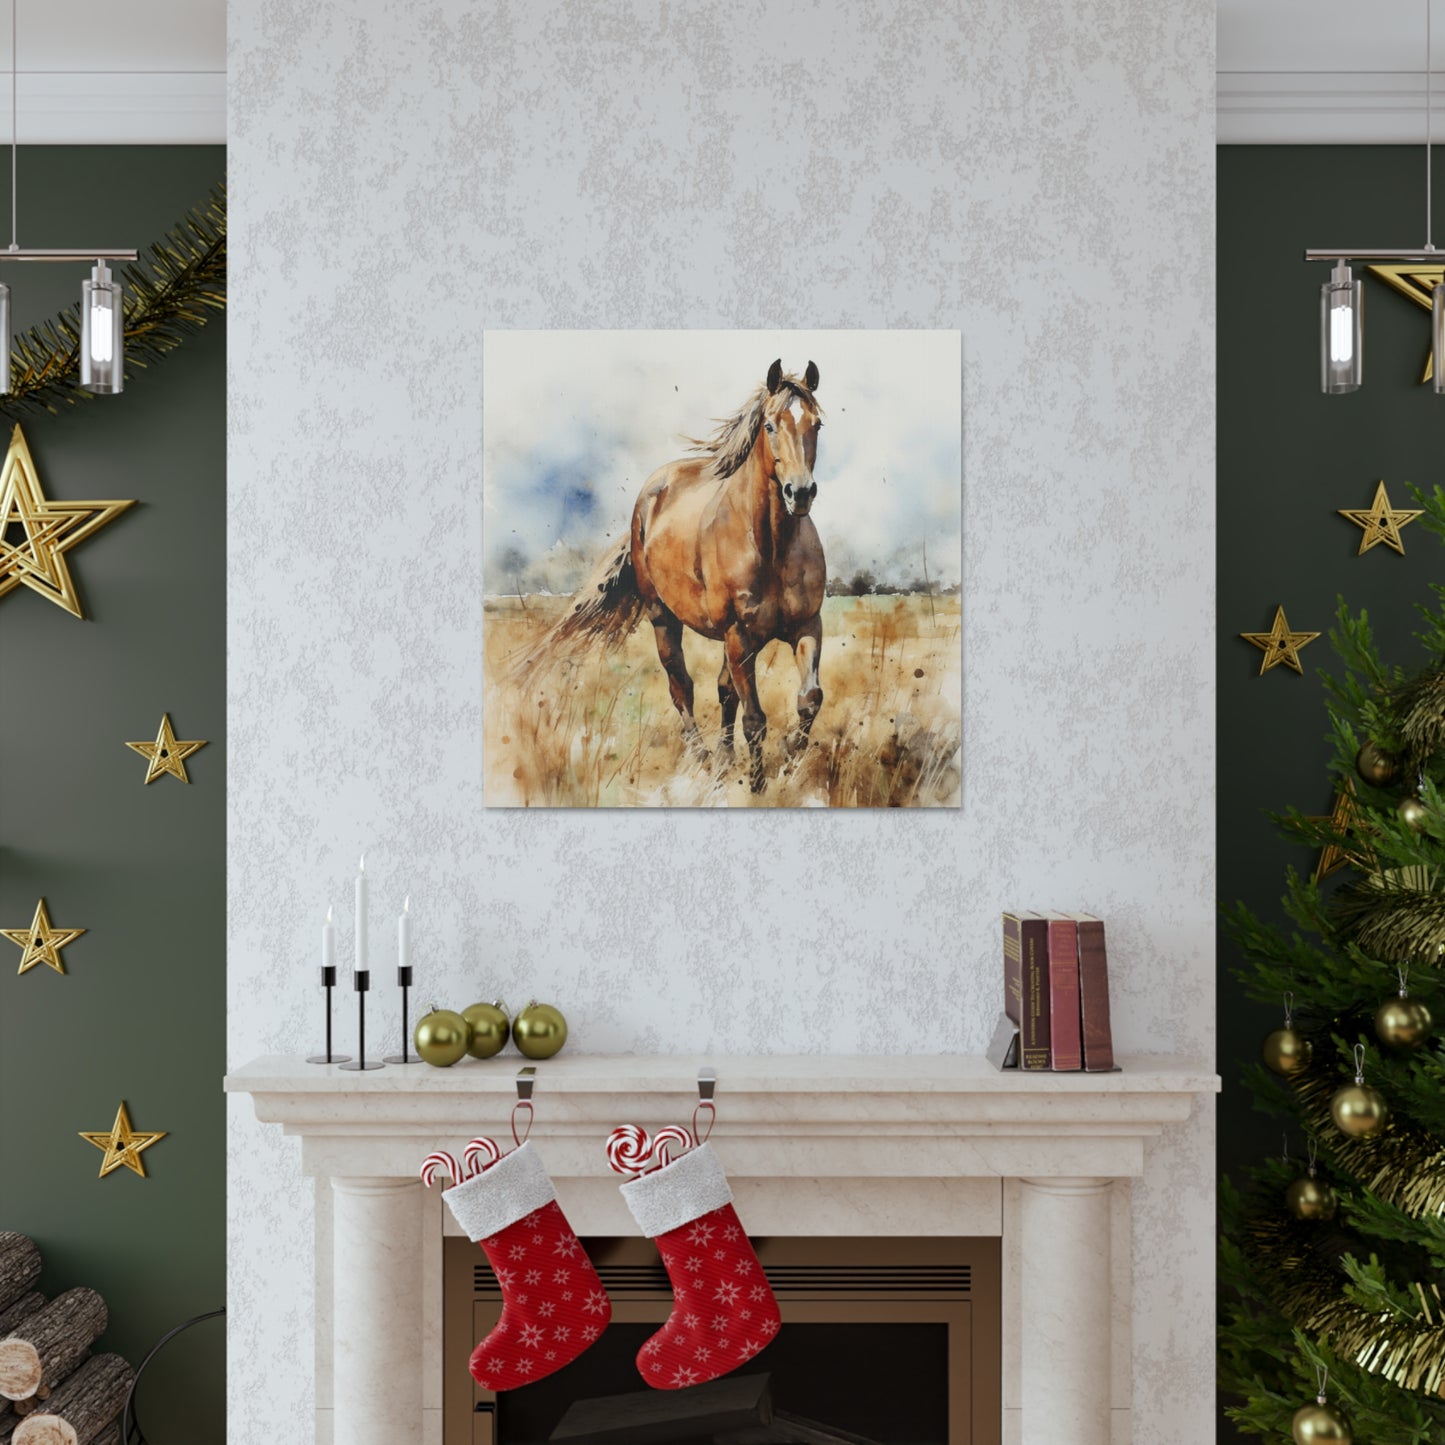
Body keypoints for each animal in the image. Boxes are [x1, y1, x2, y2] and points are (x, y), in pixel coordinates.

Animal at [531, 359, 827, 794]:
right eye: (771, 425)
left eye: (817, 424)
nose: (800, 493)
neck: (771, 544)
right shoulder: (740, 635)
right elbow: (754, 719)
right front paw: (757, 786)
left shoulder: (806, 626)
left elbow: (809, 699)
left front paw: (790, 757)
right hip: (664, 618)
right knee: (682, 687)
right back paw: (702, 758)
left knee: (723, 691)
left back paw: (722, 761)